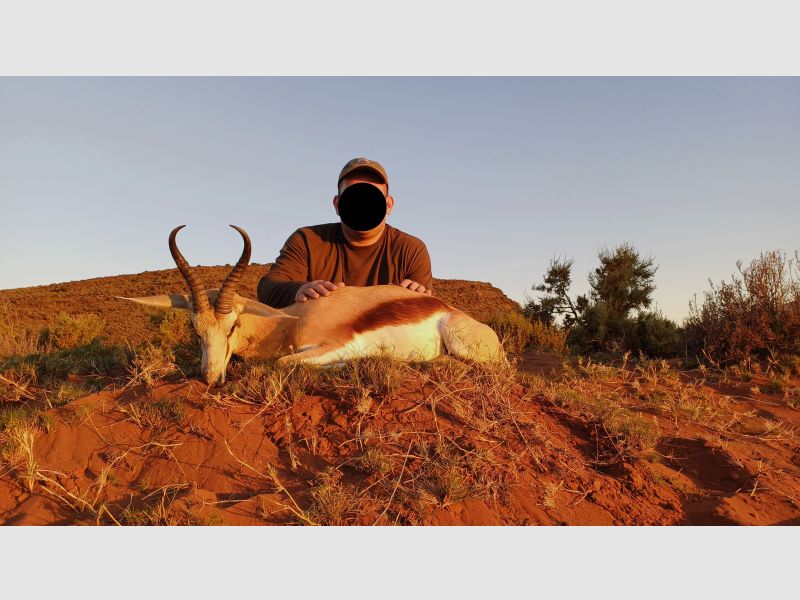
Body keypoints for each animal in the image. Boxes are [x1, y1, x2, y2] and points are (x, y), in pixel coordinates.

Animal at [119, 225, 504, 384]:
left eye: (233, 326)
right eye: (195, 329)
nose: (210, 378)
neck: (285, 323)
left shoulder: (331, 344)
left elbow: (284, 363)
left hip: (464, 345)